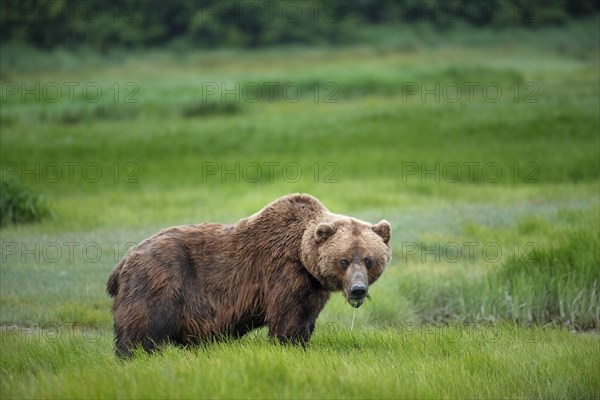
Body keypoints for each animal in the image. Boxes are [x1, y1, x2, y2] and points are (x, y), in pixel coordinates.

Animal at [106, 194, 392, 356]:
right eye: (344, 260)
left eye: (369, 260)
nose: (357, 289)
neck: (302, 256)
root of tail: (122, 262)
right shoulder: (283, 272)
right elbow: (287, 319)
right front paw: (290, 347)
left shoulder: (313, 286)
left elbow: (307, 317)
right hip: (158, 280)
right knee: (142, 330)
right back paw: (133, 356)